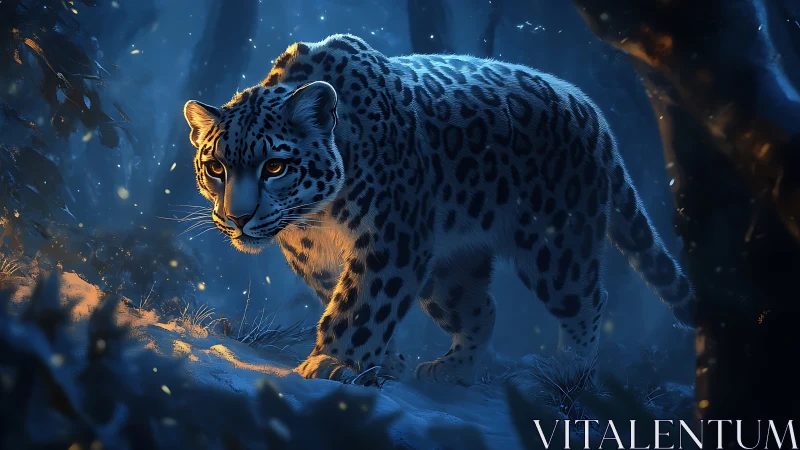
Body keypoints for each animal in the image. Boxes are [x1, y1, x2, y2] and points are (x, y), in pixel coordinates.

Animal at [182, 34, 694, 385]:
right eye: (216, 167)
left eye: (274, 166)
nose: (238, 217)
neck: (315, 218)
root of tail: (591, 108)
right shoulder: (315, 257)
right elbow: (344, 298)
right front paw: (382, 360)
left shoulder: (392, 237)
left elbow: (361, 304)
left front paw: (335, 361)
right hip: (450, 268)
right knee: (482, 309)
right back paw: (452, 370)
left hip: (556, 245)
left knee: (588, 300)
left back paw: (569, 370)